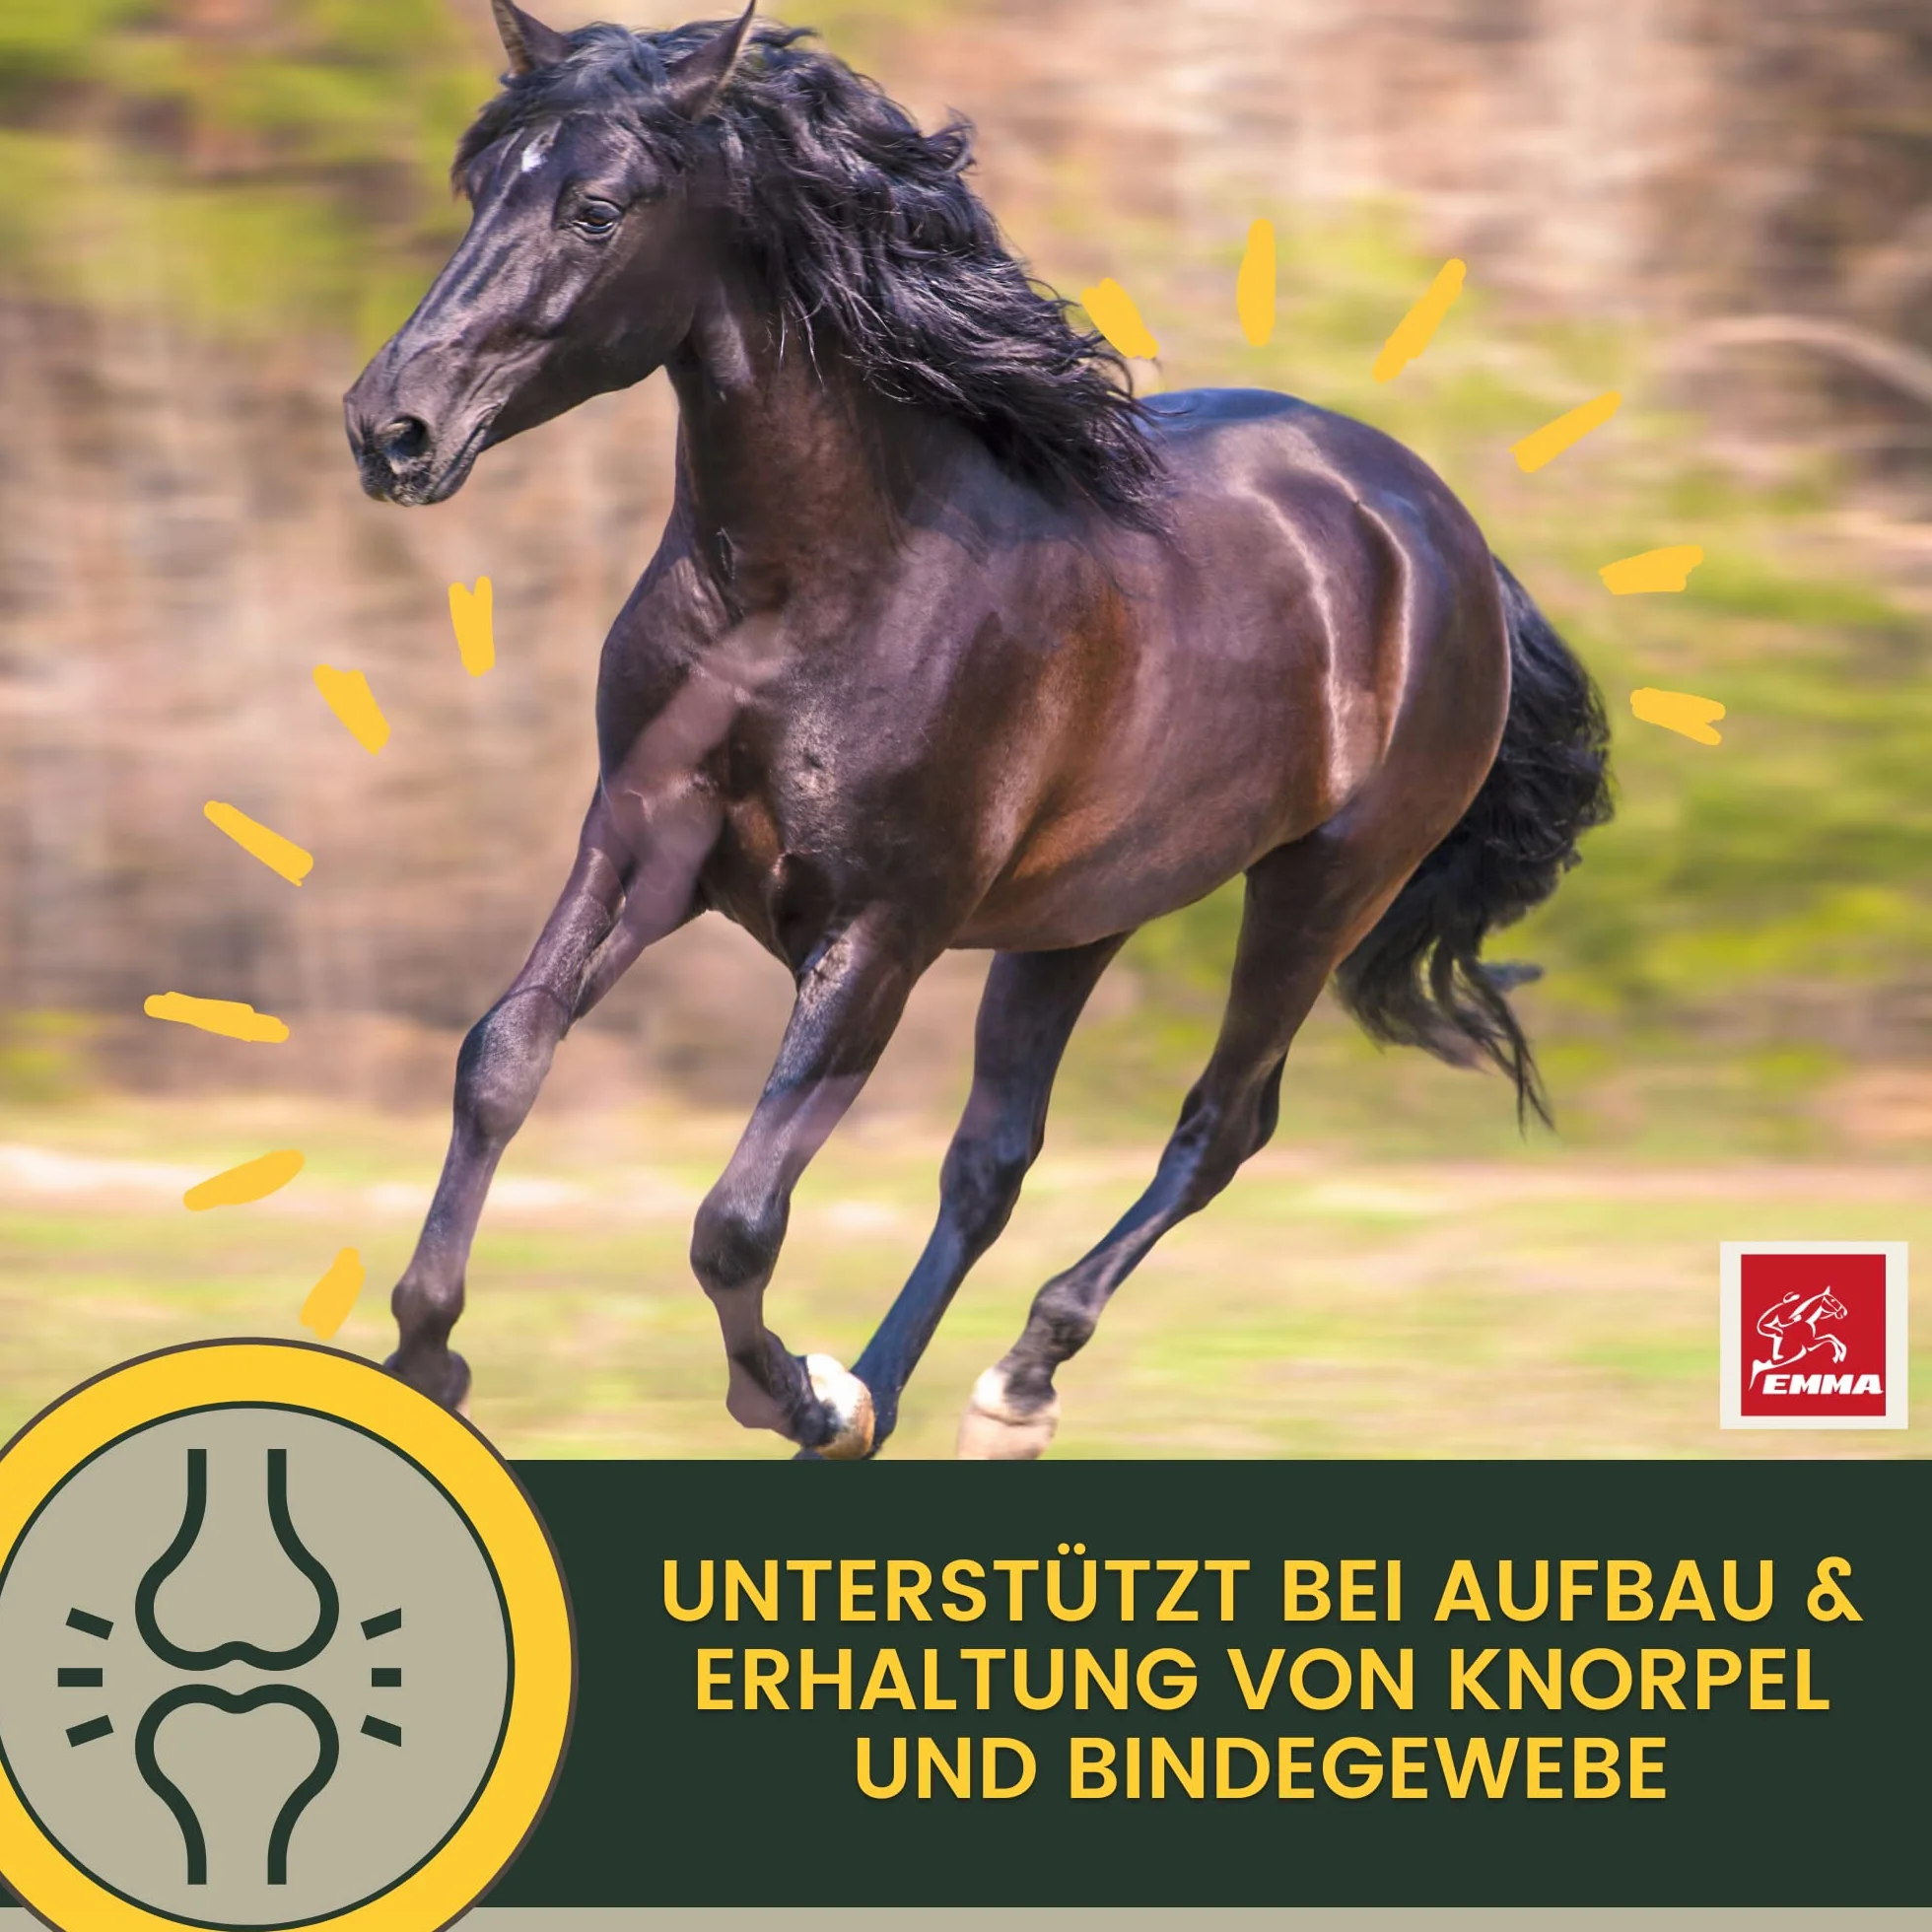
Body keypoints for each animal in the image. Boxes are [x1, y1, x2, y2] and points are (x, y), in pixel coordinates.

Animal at [342, 1, 1613, 1459]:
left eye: (597, 210)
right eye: (480, 189)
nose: (391, 428)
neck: (805, 589)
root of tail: (1439, 527)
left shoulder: (881, 927)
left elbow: (737, 1217)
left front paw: (792, 1389)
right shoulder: (640, 844)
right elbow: (502, 1058)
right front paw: (428, 1355)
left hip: (1325, 885)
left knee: (1221, 1123)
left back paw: (1006, 1384)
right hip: (1081, 914)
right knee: (995, 1156)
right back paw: (902, 1396)